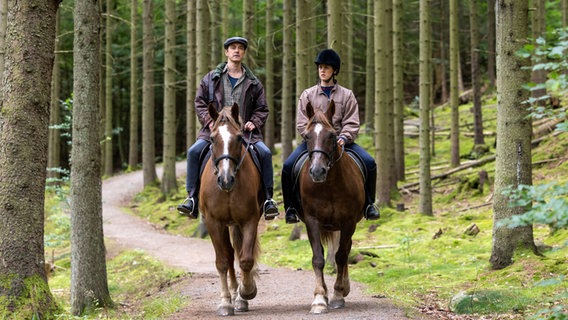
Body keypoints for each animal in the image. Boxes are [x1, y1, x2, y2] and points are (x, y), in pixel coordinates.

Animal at [200, 102, 262, 316]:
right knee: (228, 255)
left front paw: (247, 291)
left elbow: (246, 259)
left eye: (239, 138)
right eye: (212, 138)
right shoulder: (213, 223)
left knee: (236, 253)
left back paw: (240, 297)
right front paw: (226, 303)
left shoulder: (249, 220)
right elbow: (222, 262)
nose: (225, 180)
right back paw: (233, 296)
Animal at [298, 99, 364, 312]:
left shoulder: (348, 221)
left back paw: (344, 288)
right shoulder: (312, 221)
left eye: (333, 135)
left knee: (345, 250)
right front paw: (320, 298)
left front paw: (337, 294)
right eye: (307, 136)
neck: (329, 185)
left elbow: (341, 256)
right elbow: (318, 258)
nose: (317, 171)